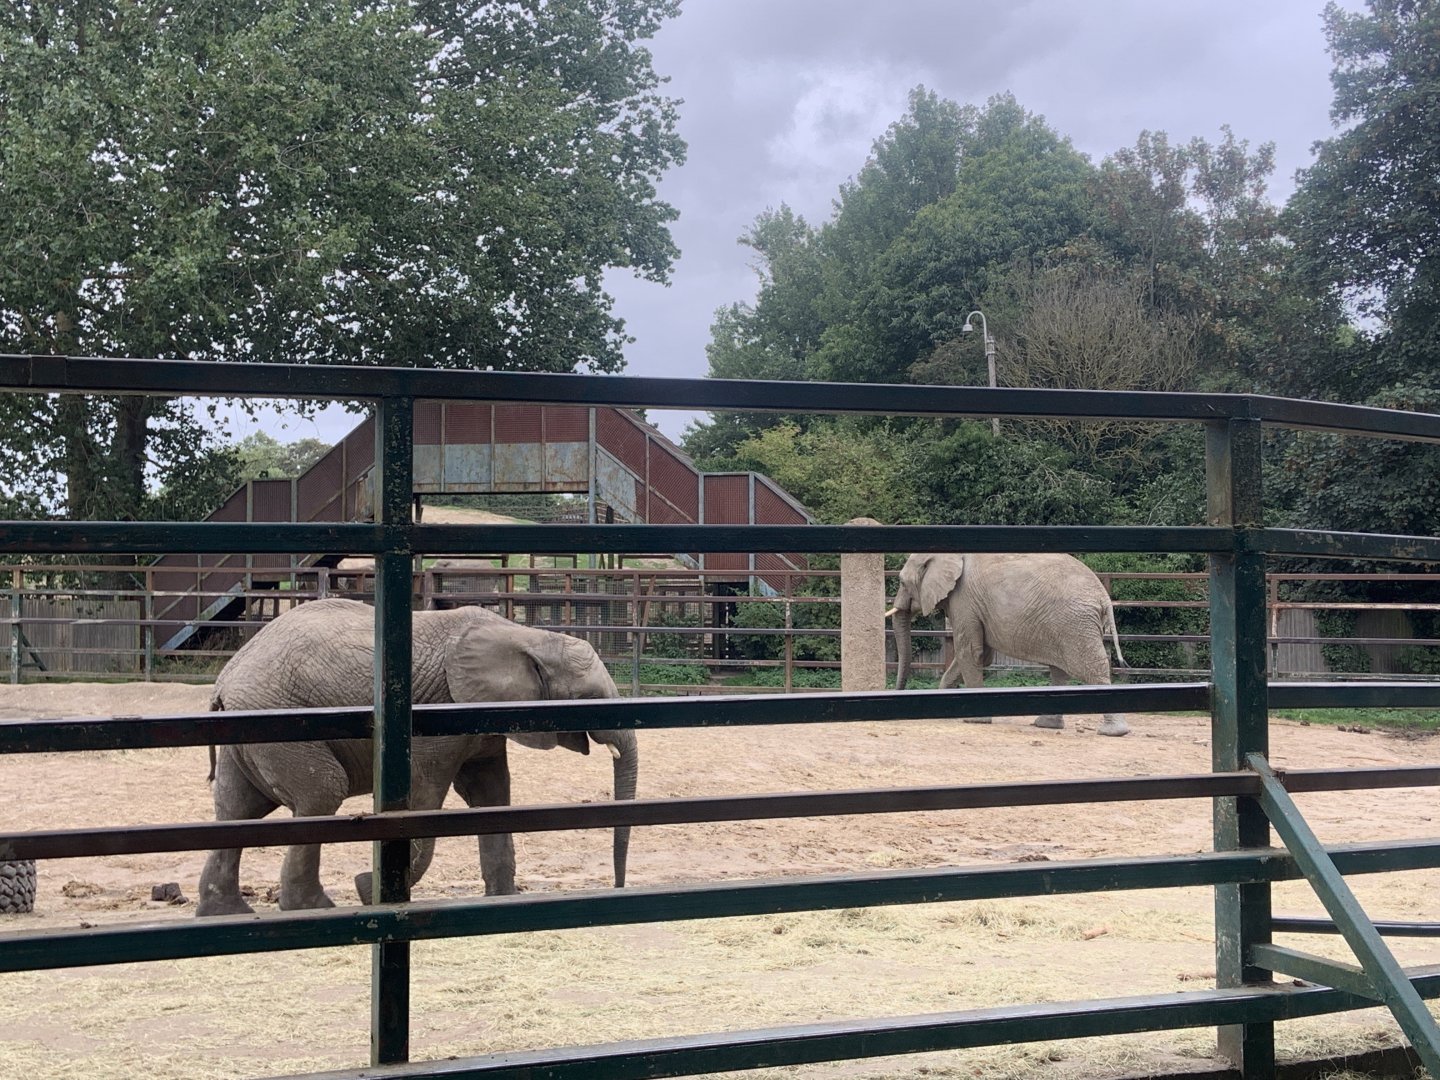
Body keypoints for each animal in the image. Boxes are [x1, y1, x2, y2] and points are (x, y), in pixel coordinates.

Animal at [195, 597, 636, 917]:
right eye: (590, 699)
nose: (618, 887)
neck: (527, 636)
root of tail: (225, 679)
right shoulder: (439, 710)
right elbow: (429, 793)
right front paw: (369, 888)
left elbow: (491, 792)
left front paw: (504, 897)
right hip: (279, 719)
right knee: (320, 794)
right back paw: (311, 907)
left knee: (237, 808)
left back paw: (226, 913)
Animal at [888, 552, 1130, 737]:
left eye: (901, 582)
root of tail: (1104, 597)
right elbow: (979, 655)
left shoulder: (964, 600)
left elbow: (970, 652)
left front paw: (974, 720)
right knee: (1059, 670)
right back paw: (1046, 724)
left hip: (1075, 624)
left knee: (1091, 667)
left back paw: (1113, 732)